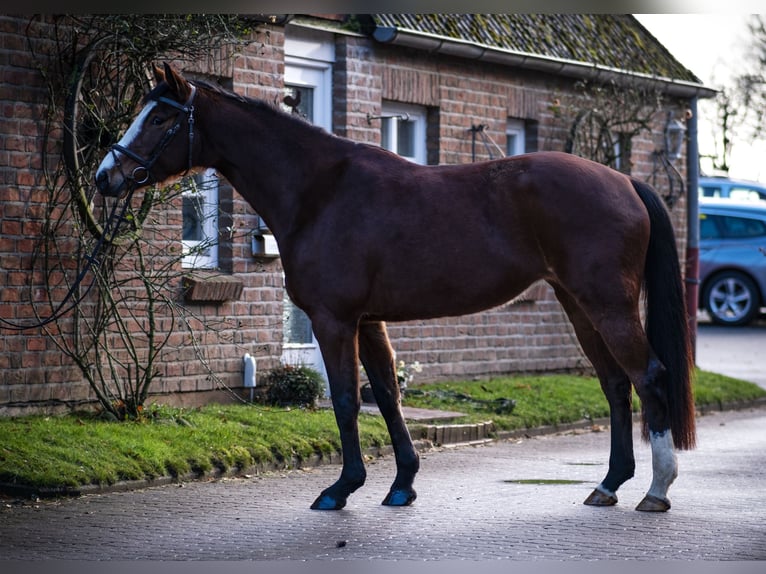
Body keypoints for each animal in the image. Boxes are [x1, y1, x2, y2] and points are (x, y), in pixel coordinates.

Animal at [96, 63, 696, 513]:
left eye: (159, 118)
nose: (105, 177)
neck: (321, 190)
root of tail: (624, 181)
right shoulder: (368, 320)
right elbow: (385, 392)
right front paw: (402, 483)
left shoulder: (335, 320)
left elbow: (344, 399)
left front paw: (341, 488)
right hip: (579, 305)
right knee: (616, 384)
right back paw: (609, 484)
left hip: (607, 304)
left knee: (649, 376)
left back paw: (657, 488)